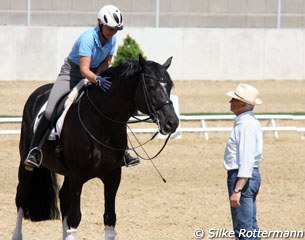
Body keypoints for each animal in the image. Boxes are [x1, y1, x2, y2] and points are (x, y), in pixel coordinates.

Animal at [12, 54, 178, 240]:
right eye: (150, 87)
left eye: (169, 86)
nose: (172, 123)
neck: (102, 123)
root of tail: (39, 92)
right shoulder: (78, 176)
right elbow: (75, 219)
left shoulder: (113, 175)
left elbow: (110, 219)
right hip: (26, 163)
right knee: (22, 195)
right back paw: (17, 234)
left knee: (63, 198)